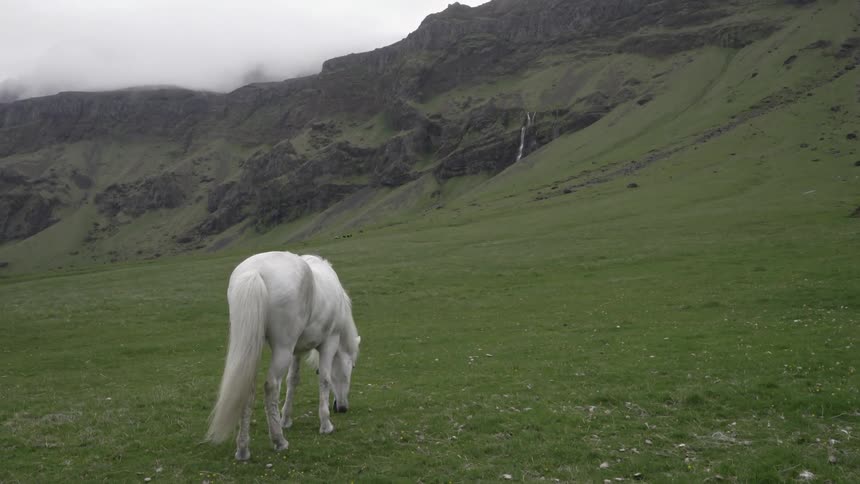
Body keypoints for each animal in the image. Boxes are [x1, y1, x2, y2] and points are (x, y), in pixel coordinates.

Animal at [205, 251, 361, 460]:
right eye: (352, 367)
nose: (342, 408)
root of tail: (256, 271)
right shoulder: (330, 343)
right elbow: (325, 379)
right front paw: (325, 424)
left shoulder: (296, 351)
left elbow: (292, 380)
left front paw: (285, 419)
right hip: (282, 349)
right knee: (271, 386)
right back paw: (279, 441)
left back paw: (243, 449)